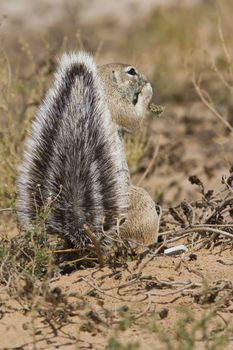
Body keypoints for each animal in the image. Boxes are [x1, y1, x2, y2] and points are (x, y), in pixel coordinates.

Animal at [17, 52, 159, 249]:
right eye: (131, 71)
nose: (146, 79)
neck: (105, 84)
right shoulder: (116, 105)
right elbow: (132, 120)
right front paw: (147, 90)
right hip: (140, 204)